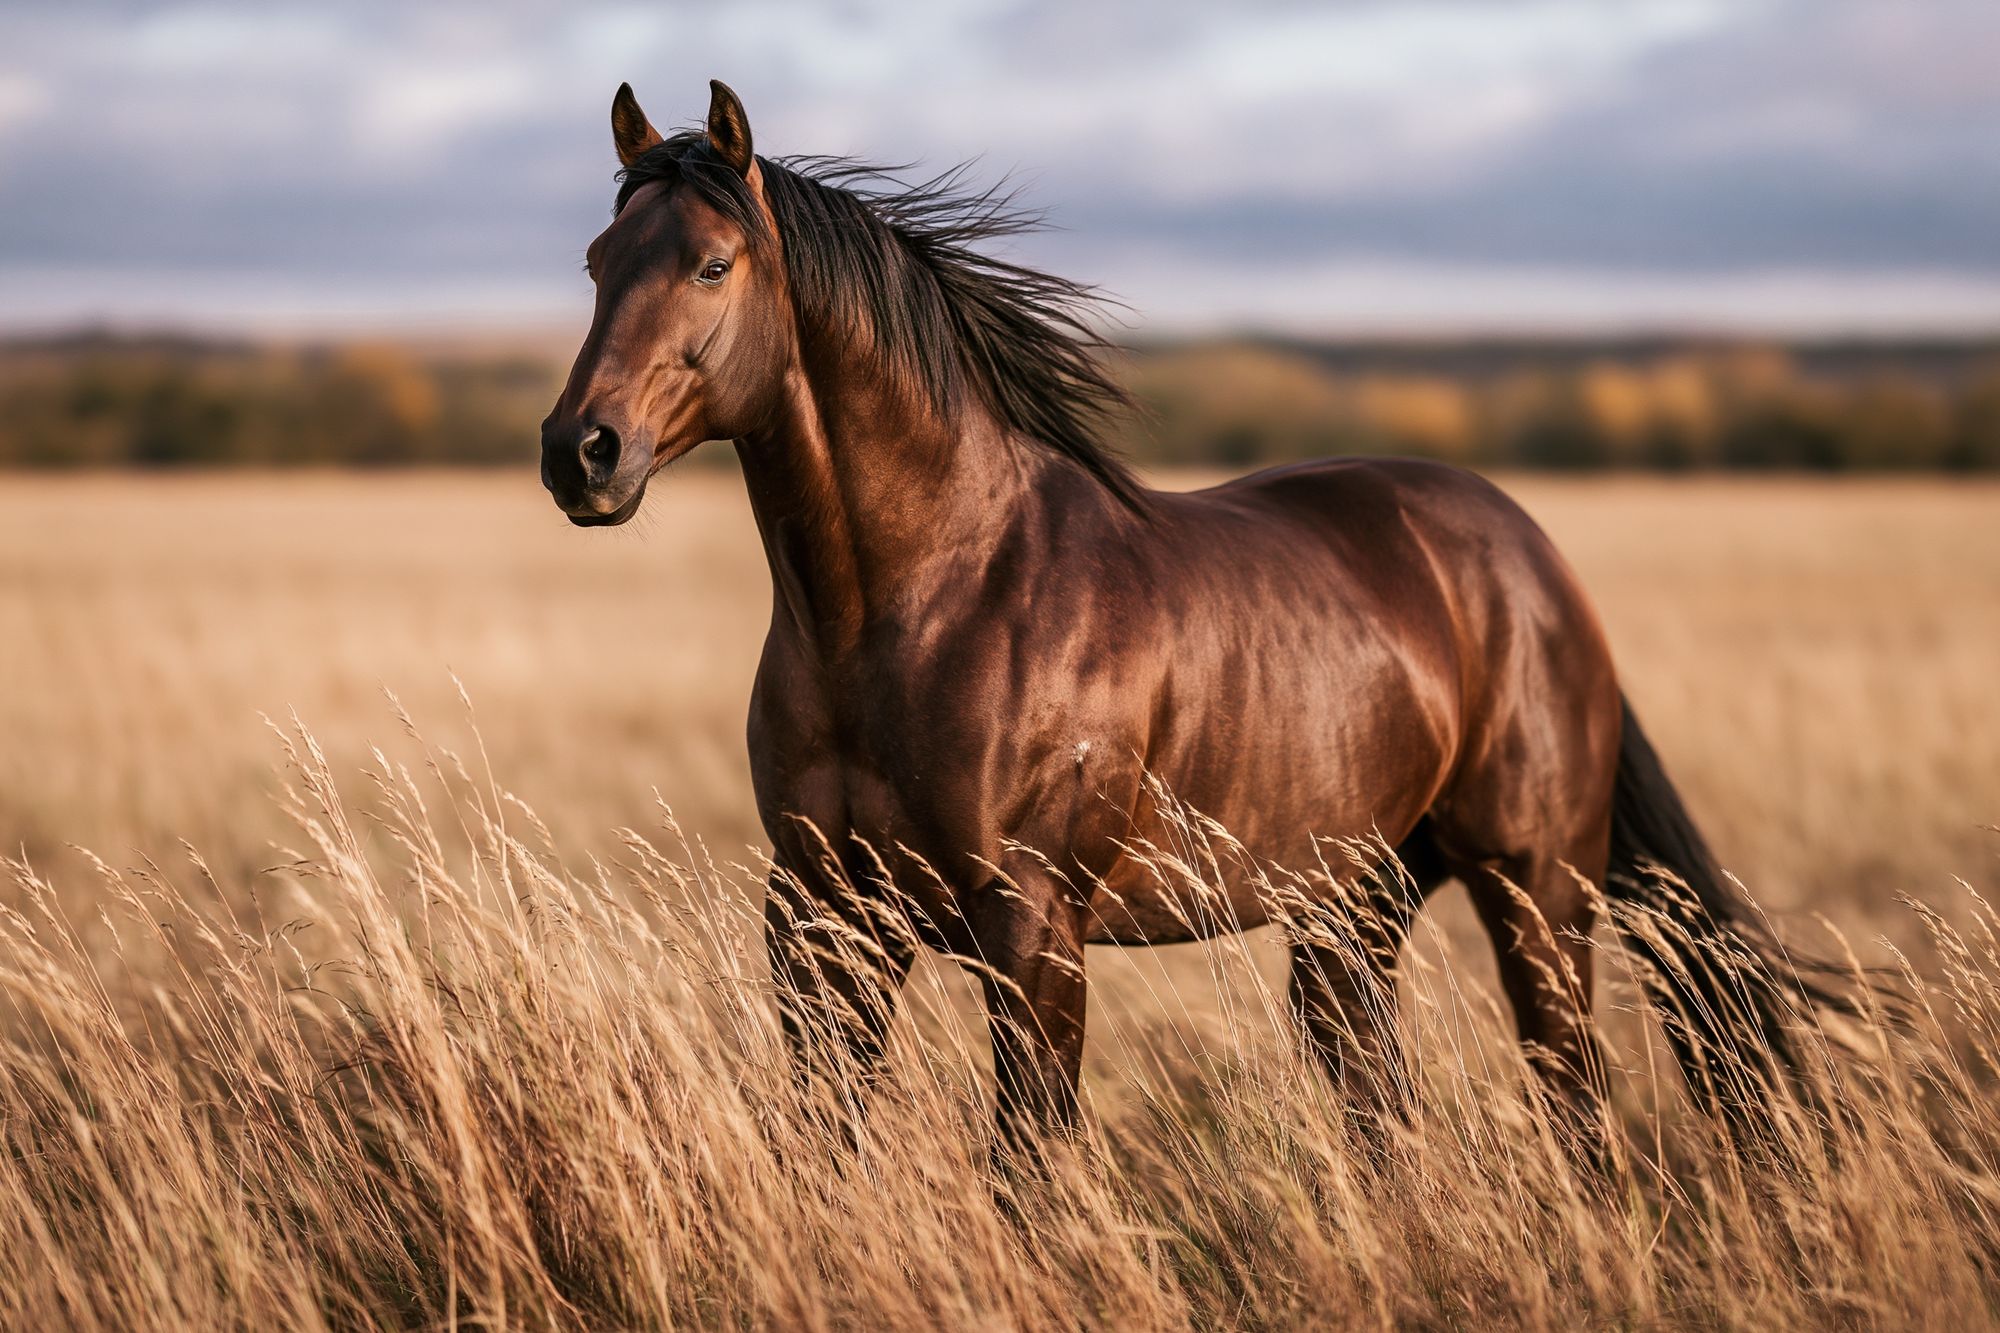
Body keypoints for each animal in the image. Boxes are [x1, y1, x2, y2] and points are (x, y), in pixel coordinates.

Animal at [541, 79, 1832, 1152]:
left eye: (712, 265)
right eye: (600, 259)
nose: (579, 452)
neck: (923, 602)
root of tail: (1532, 561)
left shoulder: (1032, 934)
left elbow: (1028, 1165)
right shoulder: (819, 920)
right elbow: (819, 1143)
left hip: (1535, 890)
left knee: (1573, 1102)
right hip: (1349, 913)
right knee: (1382, 1108)